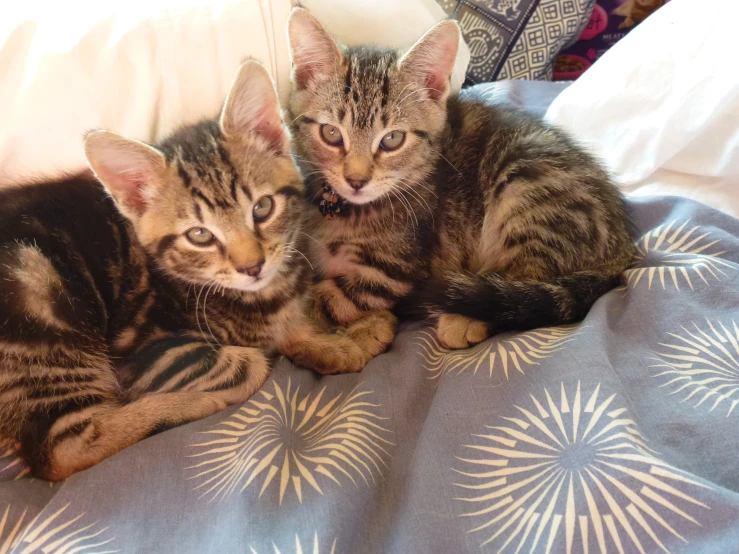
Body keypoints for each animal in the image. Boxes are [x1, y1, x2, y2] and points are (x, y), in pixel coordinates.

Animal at [0, 60, 396, 478]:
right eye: (200, 235)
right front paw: (333, 341)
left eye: (262, 208)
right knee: (59, 452)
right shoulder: (143, 353)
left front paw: (345, 338)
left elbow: (293, 323)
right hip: (40, 298)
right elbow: (253, 360)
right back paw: (193, 405)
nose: (252, 266)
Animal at [286, 9, 632, 344]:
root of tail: (623, 247)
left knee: (521, 290)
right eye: (331, 133)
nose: (356, 180)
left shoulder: (397, 271)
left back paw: (465, 319)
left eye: (392, 139)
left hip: (530, 180)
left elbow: (325, 300)